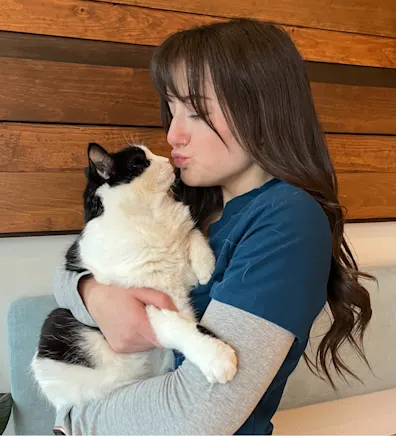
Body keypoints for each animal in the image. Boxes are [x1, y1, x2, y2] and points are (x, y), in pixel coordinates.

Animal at [31, 143, 237, 412]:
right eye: (140, 162)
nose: (169, 161)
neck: (149, 215)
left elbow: (192, 234)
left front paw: (206, 266)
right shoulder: (152, 303)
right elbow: (184, 328)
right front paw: (218, 358)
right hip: (58, 326)